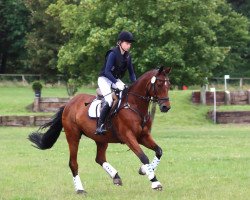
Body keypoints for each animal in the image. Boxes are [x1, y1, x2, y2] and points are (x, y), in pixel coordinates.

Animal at [28, 66, 171, 193]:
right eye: (159, 84)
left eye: (168, 85)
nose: (166, 107)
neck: (134, 105)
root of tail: (69, 103)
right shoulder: (128, 137)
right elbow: (143, 157)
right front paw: (155, 182)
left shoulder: (143, 136)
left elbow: (159, 151)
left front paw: (144, 170)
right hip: (73, 136)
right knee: (73, 163)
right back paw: (80, 189)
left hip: (101, 139)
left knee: (99, 158)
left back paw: (116, 177)